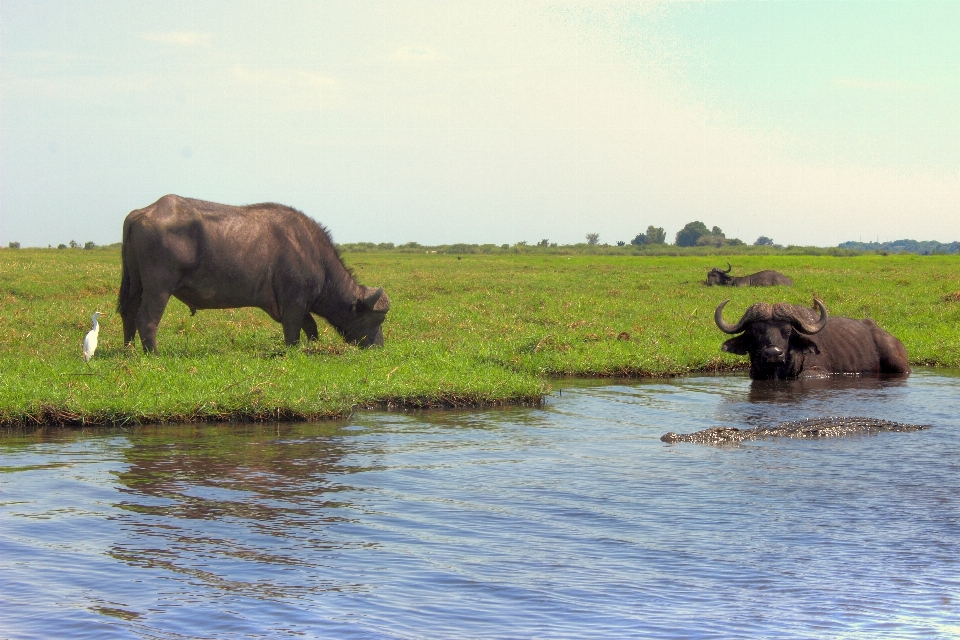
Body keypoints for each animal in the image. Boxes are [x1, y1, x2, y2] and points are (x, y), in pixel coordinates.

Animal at [119, 195, 390, 356]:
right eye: (377, 319)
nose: (379, 346)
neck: (313, 254)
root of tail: (141, 213)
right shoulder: (294, 303)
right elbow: (294, 331)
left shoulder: (297, 305)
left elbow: (311, 326)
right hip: (159, 287)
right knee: (146, 318)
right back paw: (153, 353)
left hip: (134, 282)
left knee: (128, 311)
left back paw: (128, 348)